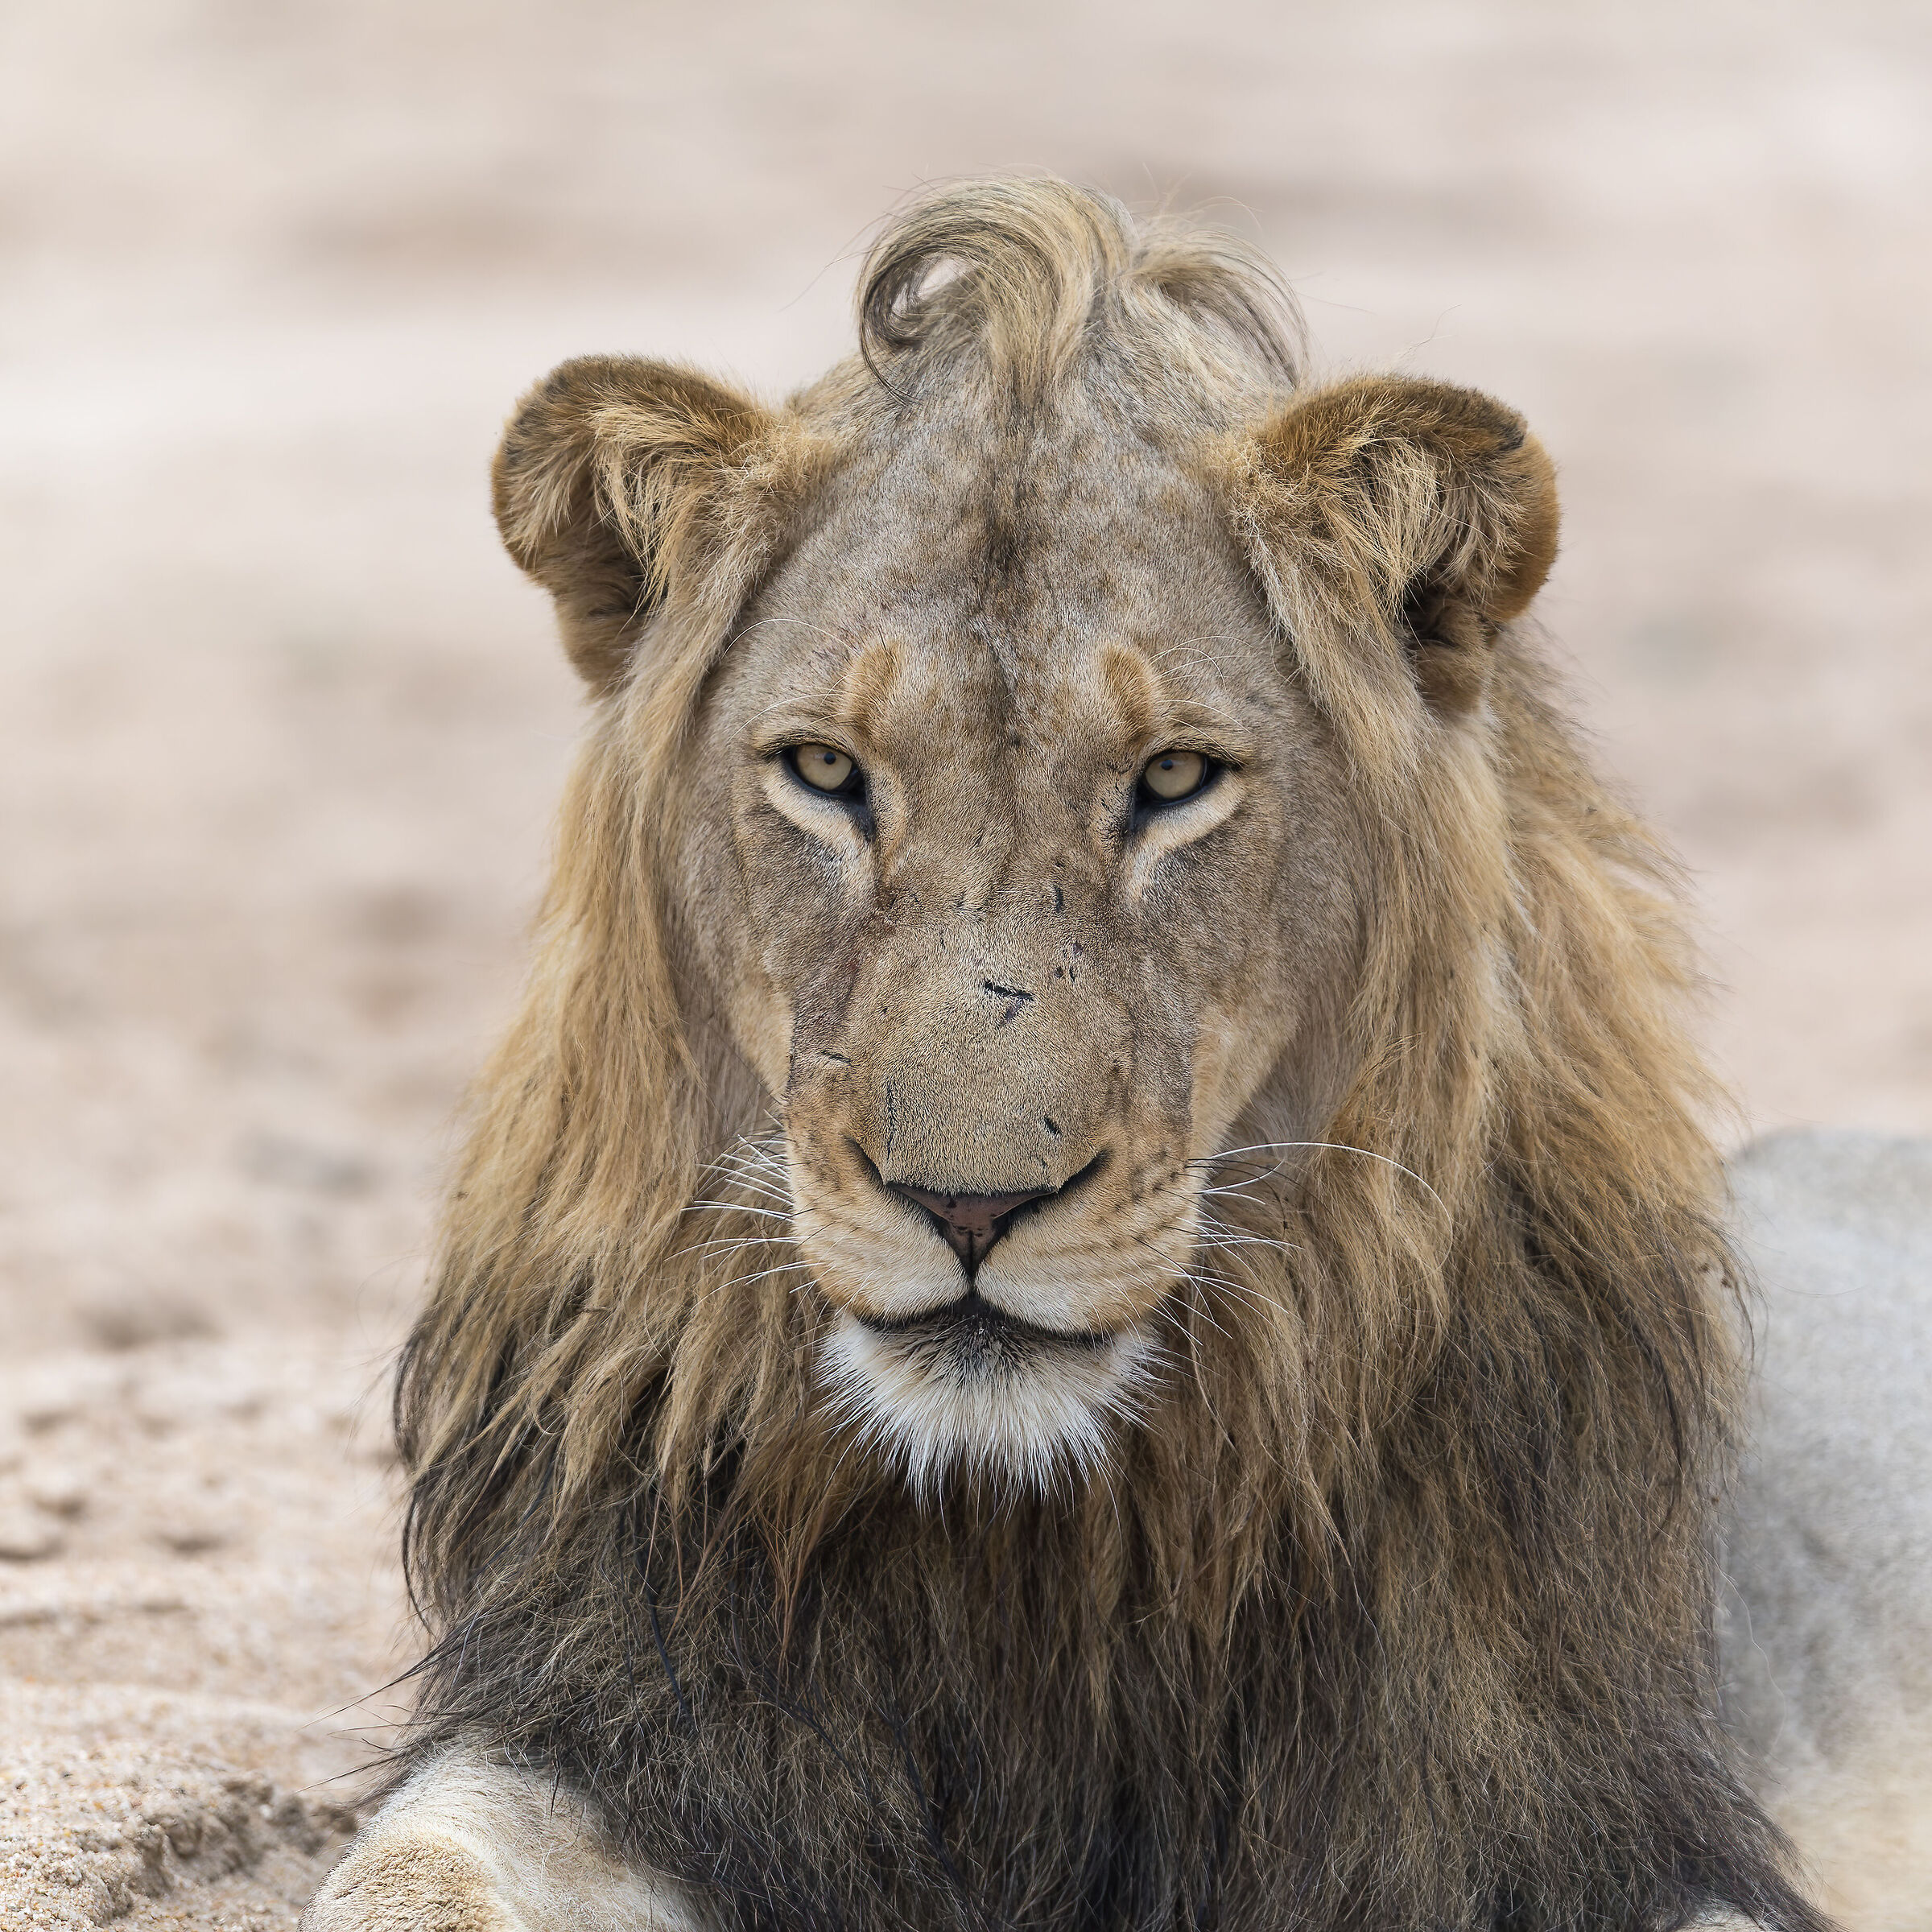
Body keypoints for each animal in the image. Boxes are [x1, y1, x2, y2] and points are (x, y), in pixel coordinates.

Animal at [300, 179, 1906, 1931]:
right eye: (826, 775)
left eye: (1176, 780)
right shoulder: (640, 1743)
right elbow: (416, 1875)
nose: (969, 1206)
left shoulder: (1569, 1823)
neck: (1035, 1556)